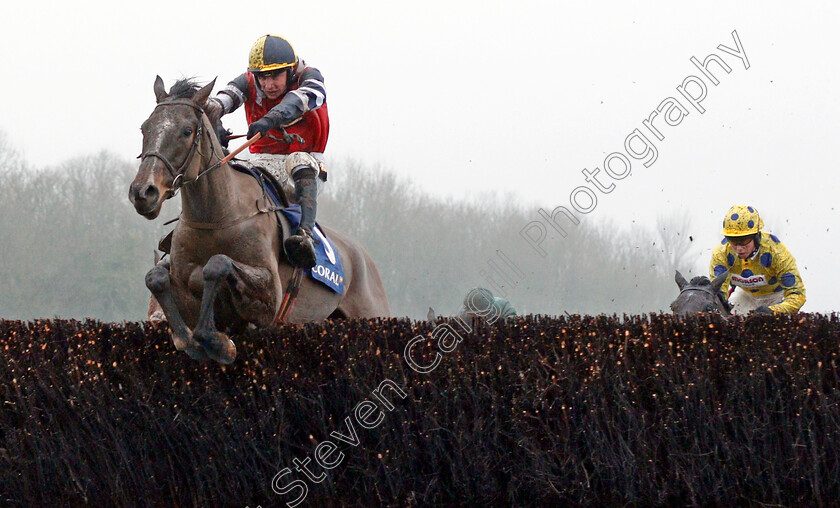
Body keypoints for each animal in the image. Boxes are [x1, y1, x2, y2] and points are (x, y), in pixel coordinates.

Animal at [128, 75, 390, 364]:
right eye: (144, 129)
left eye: (186, 131)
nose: (143, 192)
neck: (217, 218)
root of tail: (364, 257)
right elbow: (156, 277)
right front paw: (187, 337)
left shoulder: (269, 298)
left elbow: (217, 264)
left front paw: (218, 343)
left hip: (371, 311)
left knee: (299, 161)